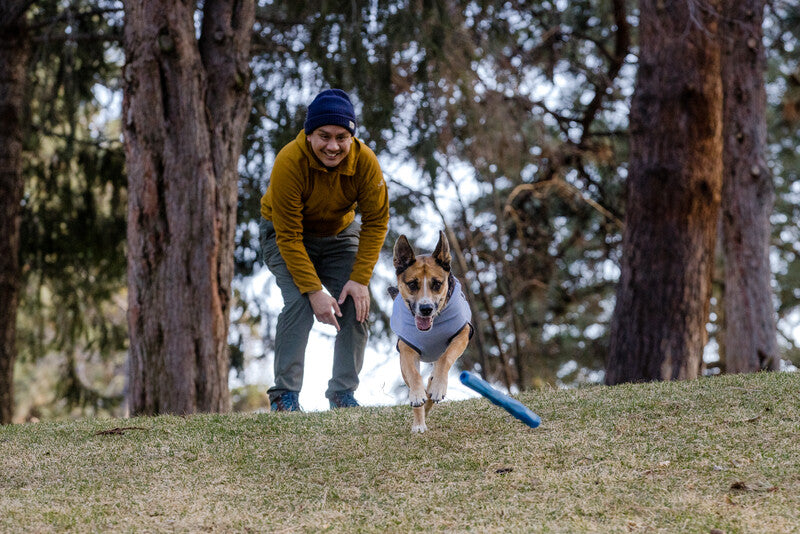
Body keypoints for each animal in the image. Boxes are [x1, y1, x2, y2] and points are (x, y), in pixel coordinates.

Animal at [390, 232, 472, 434]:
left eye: (437, 284)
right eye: (412, 284)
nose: (426, 308)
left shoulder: (462, 334)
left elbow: (445, 359)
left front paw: (437, 388)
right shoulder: (407, 348)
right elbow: (414, 374)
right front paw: (417, 396)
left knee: (434, 373)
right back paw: (419, 420)